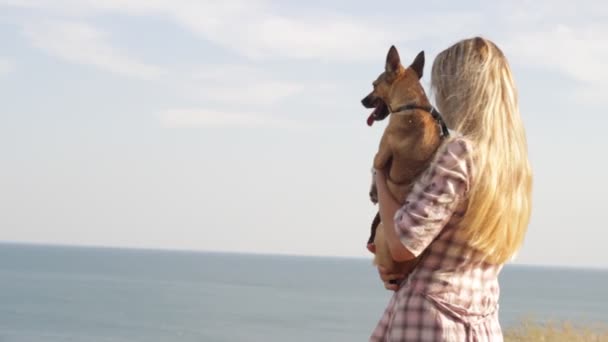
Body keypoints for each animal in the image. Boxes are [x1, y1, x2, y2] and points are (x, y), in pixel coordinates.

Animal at [360, 44, 446, 276]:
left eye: (374, 85)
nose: (362, 100)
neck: (412, 105)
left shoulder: (380, 157)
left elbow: (373, 168)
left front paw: (373, 191)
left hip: (382, 230)